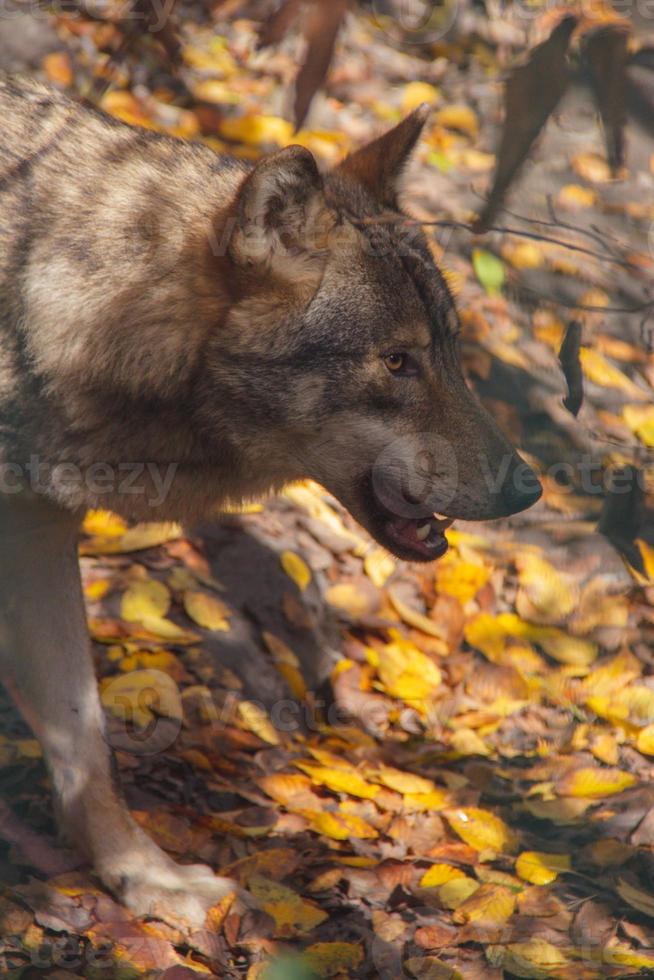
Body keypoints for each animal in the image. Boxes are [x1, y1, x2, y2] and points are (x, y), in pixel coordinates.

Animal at [0, 78, 544, 928]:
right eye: (397, 362)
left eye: (452, 352)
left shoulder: (35, 532)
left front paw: (146, 881)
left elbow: (85, 742)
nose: (530, 488)